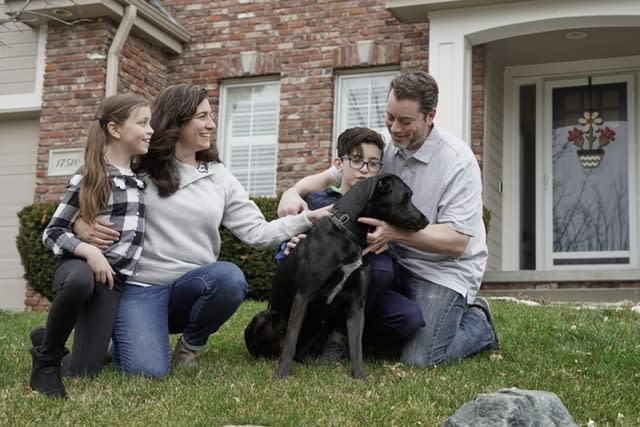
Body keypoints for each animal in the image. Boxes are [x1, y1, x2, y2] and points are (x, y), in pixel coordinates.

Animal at [245, 174, 430, 382]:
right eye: (407, 197)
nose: (426, 220)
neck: (348, 234)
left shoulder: (357, 304)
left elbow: (356, 347)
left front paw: (360, 378)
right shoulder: (303, 295)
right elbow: (291, 340)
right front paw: (281, 375)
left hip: (319, 325)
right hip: (263, 318)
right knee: (275, 348)